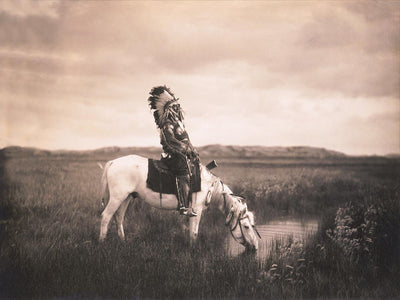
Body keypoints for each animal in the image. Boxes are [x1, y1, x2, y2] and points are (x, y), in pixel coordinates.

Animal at [99, 155, 260, 251]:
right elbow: (194, 232)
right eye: (246, 226)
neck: (209, 186)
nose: (255, 247)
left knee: (118, 218)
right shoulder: (197, 210)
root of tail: (113, 162)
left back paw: (123, 241)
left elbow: (190, 231)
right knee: (106, 216)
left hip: (126, 198)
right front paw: (193, 251)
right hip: (117, 197)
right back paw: (102, 242)